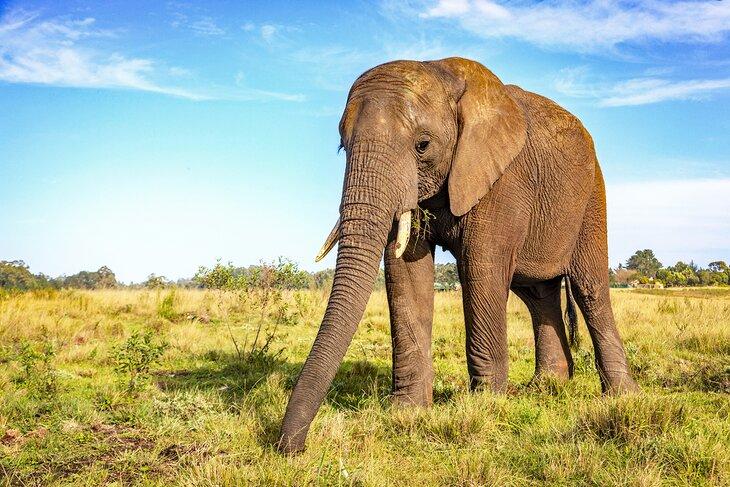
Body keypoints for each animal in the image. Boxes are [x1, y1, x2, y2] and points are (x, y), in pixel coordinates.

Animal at [278, 57, 638, 454]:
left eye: (422, 145)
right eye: (342, 146)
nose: (292, 448)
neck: (440, 71)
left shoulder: (502, 180)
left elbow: (482, 269)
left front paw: (487, 406)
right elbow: (405, 271)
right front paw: (408, 412)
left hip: (592, 195)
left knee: (590, 289)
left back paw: (621, 396)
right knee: (537, 295)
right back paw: (547, 388)